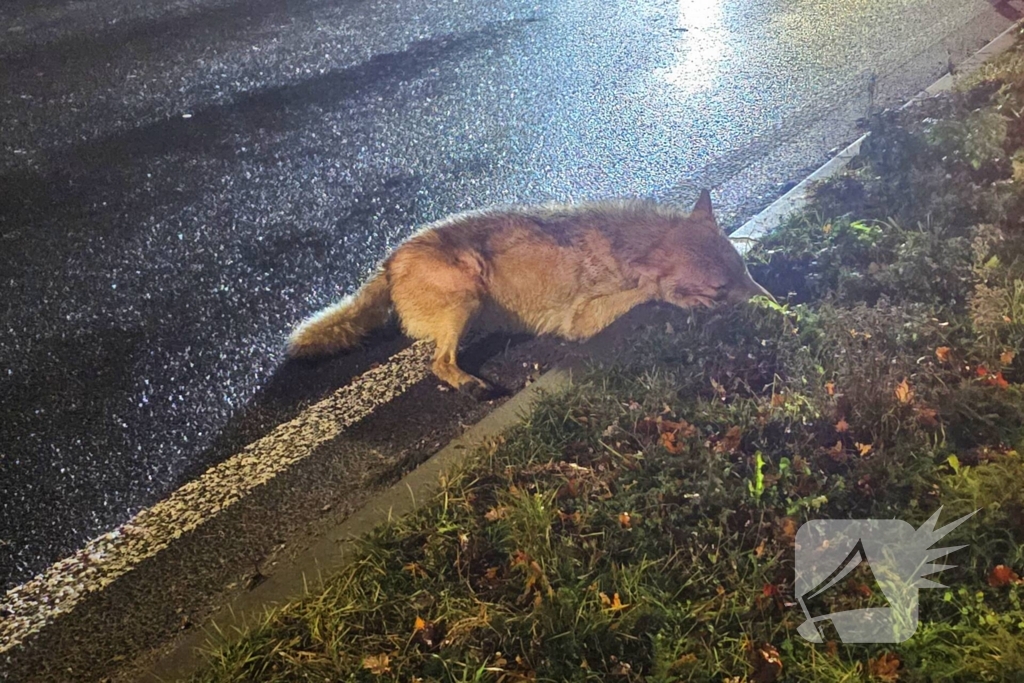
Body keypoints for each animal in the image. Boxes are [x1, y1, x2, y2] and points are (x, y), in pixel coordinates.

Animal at [286, 191, 772, 397]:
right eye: (721, 289)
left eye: (744, 271)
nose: (777, 304)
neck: (630, 243)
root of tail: (388, 262)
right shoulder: (580, 320)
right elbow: (649, 292)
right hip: (467, 296)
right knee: (438, 364)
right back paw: (469, 384)